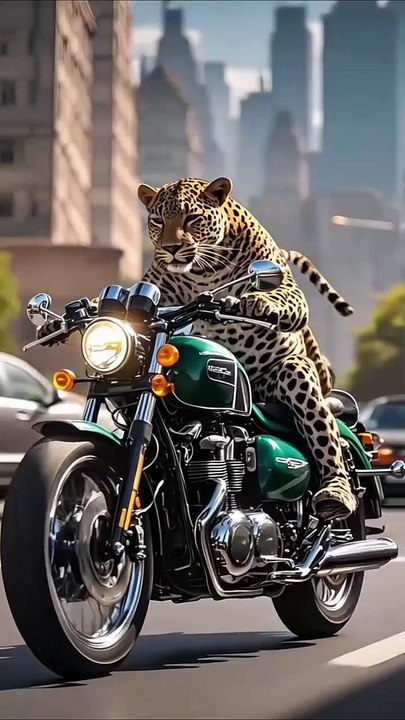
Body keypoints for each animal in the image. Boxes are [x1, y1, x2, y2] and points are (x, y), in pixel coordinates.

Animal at [137, 176, 358, 521]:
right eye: (158, 221)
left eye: (192, 219)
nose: (171, 249)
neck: (202, 274)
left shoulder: (287, 290)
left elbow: (280, 299)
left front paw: (256, 305)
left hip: (295, 376)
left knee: (323, 428)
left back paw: (336, 492)